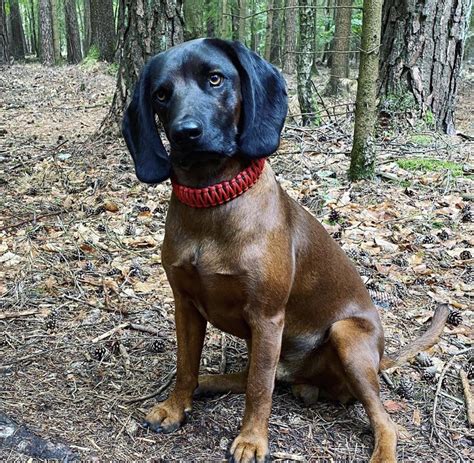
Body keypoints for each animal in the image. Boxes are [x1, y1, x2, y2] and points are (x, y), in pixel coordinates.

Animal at [122, 39, 448, 463]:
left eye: (215, 78)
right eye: (161, 94)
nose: (185, 133)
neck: (212, 200)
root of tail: (381, 357)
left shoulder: (267, 317)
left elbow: (259, 390)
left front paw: (251, 440)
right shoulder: (186, 306)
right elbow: (185, 366)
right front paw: (176, 407)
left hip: (345, 336)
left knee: (380, 418)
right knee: (258, 377)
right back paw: (210, 382)